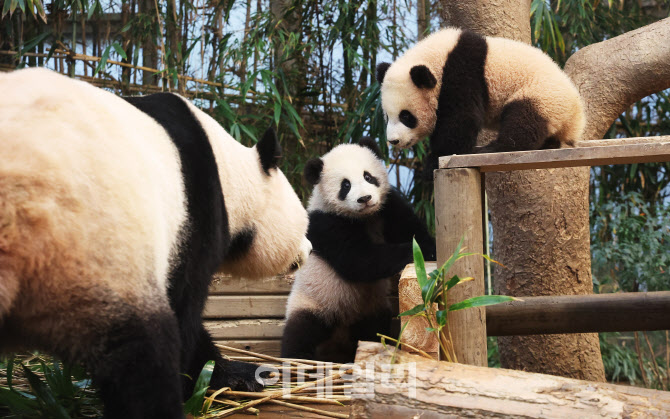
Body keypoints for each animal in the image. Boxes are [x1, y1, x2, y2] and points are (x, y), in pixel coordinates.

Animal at [0, 67, 314, 418]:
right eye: (304, 223)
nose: (308, 249)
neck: (229, 171)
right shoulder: (192, 220)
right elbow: (184, 314)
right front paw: (229, 376)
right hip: (90, 254)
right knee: (140, 358)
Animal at [282, 139, 436, 362]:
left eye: (368, 176)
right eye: (345, 185)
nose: (365, 198)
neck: (364, 217)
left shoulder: (388, 207)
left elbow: (411, 228)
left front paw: (430, 246)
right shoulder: (326, 223)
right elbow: (359, 260)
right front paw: (419, 251)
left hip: (370, 310)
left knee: (373, 329)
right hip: (314, 302)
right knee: (300, 331)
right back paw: (297, 359)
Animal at [378, 27, 588, 167]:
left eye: (406, 116)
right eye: (387, 117)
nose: (393, 141)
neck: (437, 58)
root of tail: (576, 119)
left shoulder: (461, 71)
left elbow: (461, 119)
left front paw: (434, 161)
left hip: (543, 95)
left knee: (523, 121)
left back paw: (491, 148)